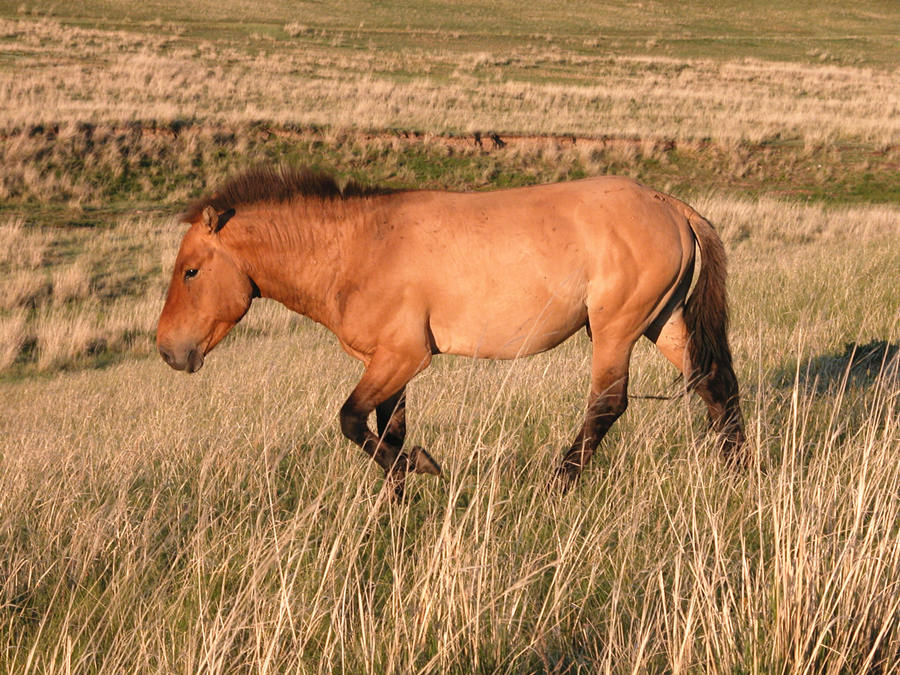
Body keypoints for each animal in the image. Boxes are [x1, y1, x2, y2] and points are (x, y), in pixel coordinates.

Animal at [156, 166, 744, 500]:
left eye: (190, 272)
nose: (168, 351)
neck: (358, 248)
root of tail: (671, 205)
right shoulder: (387, 364)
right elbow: (384, 430)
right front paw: (396, 504)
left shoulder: (404, 357)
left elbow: (352, 422)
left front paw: (421, 468)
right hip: (660, 323)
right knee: (714, 382)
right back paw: (735, 470)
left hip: (615, 328)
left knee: (608, 404)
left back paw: (557, 484)